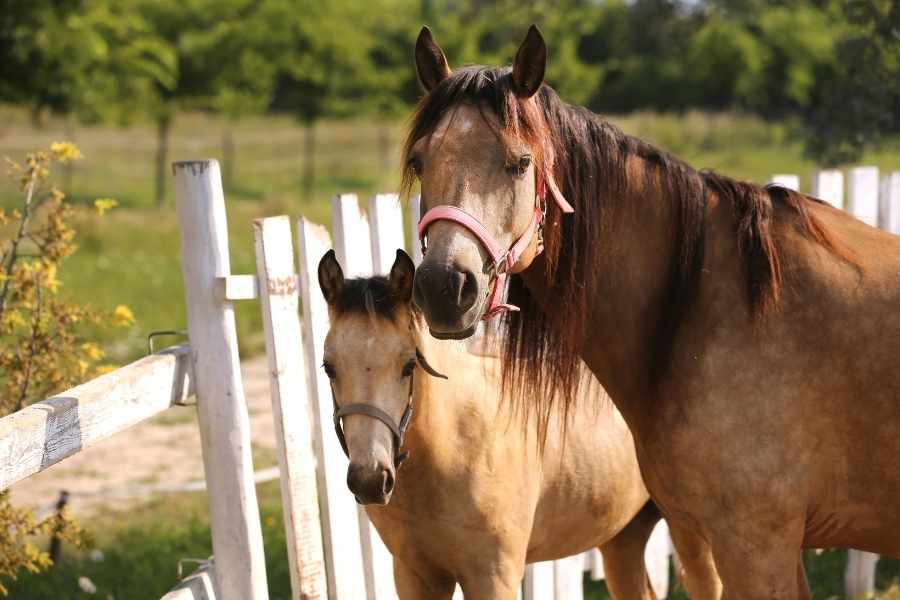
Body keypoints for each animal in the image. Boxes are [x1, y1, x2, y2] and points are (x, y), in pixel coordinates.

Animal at [317, 248, 722, 600]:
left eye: (407, 365)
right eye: (329, 367)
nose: (370, 479)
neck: (451, 448)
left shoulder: (493, 577)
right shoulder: (415, 575)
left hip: (692, 537)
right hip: (623, 536)